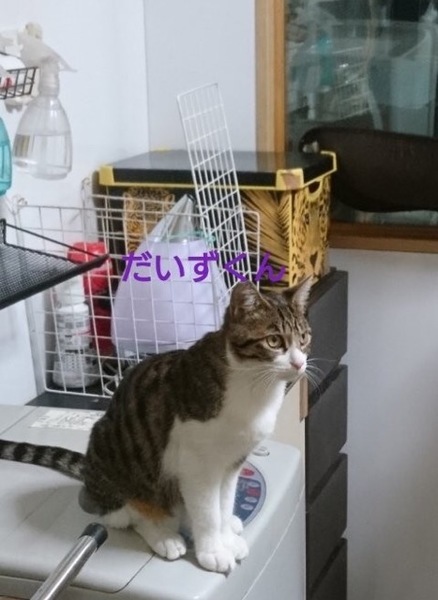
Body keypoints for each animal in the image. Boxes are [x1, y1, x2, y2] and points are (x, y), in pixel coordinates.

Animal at [0, 278, 312, 574]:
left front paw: (226, 538)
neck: (254, 387)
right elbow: (208, 513)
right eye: (274, 341)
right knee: (125, 515)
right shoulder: (198, 465)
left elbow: (223, 504)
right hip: (113, 457)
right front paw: (212, 551)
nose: (299, 364)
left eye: (304, 338)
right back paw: (164, 536)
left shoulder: (233, 461)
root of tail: (89, 475)